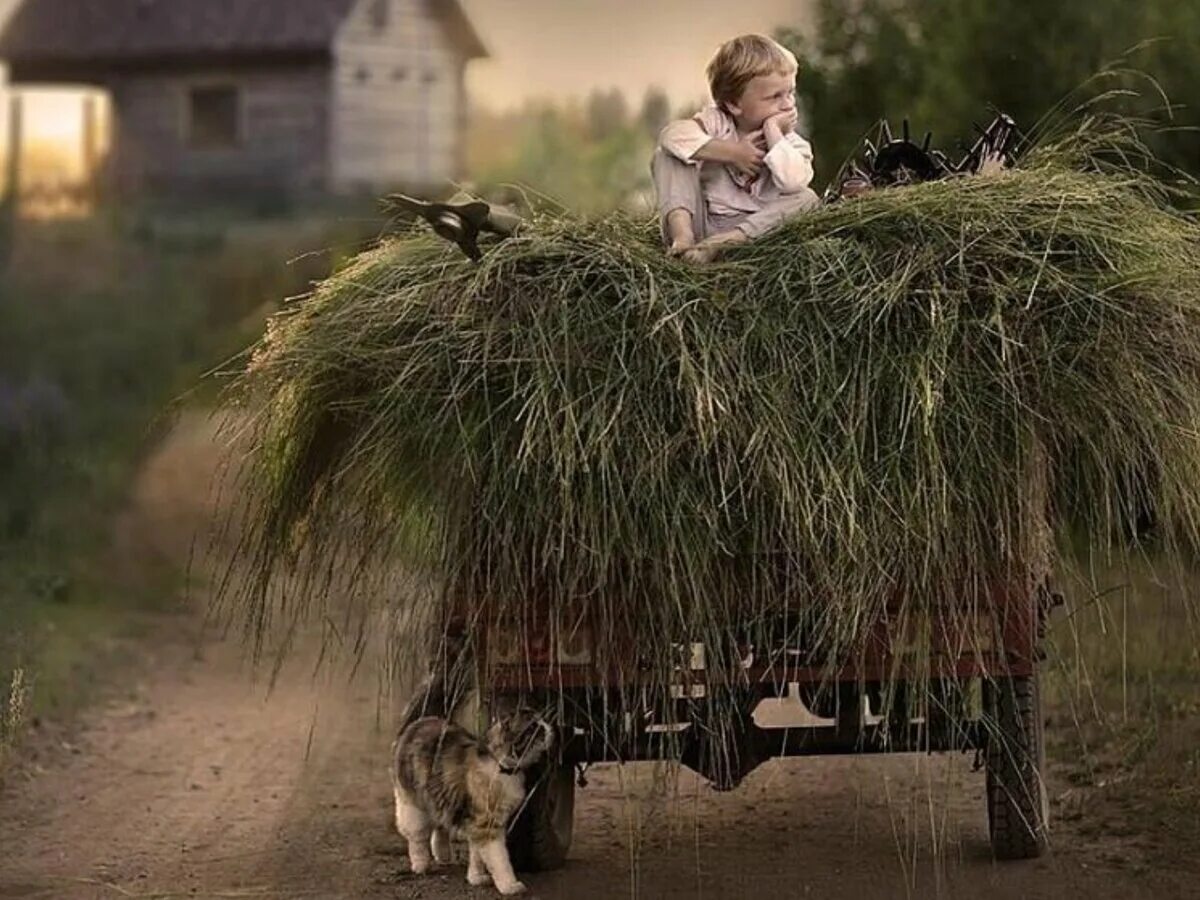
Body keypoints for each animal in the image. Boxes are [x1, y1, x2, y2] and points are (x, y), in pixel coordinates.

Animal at [393, 681, 552, 897]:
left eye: (541, 722)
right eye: (533, 727)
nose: (548, 727)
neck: (503, 767)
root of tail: (418, 723)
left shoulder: (480, 823)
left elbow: (477, 856)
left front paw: (476, 878)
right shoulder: (487, 826)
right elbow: (500, 860)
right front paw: (509, 885)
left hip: (441, 797)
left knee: (440, 826)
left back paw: (443, 854)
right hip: (414, 804)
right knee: (416, 838)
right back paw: (420, 864)